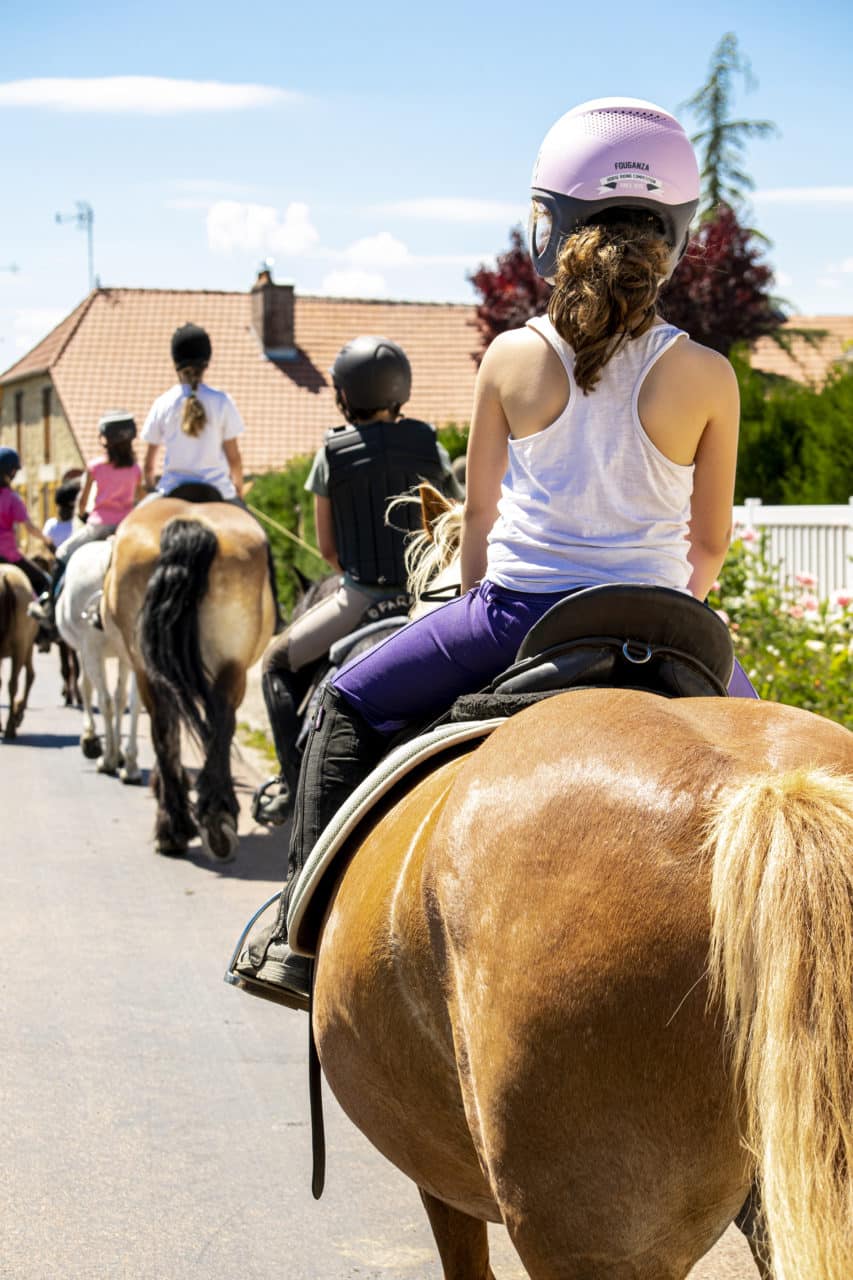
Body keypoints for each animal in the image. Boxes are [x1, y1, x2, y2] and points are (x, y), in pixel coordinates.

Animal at [56, 537, 140, 778]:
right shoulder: (123, 657)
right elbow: (121, 699)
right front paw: (120, 754)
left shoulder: (86, 650)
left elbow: (85, 687)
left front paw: (90, 738)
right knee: (133, 702)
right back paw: (130, 765)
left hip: (92, 649)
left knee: (104, 700)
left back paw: (108, 759)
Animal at [102, 499, 272, 860]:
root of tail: (188, 525)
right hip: (227, 666)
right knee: (212, 725)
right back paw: (209, 820)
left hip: (153, 670)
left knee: (171, 729)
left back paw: (181, 825)